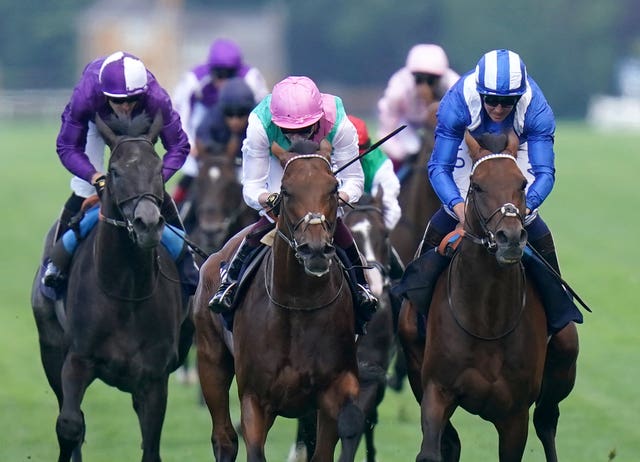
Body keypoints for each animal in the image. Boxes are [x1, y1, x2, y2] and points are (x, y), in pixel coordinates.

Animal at [30, 113, 192, 462]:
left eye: (158, 168)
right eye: (115, 171)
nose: (147, 223)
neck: (126, 294)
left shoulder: (153, 379)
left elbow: (151, 447)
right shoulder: (77, 360)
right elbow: (70, 425)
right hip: (50, 348)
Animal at [195, 139, 362, 460]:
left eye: (333, 187)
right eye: (285, 190)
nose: (315, 249)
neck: (298, 304)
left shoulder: (335, 387)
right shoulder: (256, 398)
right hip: (210, 361)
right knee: (224, 437)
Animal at [400, 132, 564, 460]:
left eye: (522, 184)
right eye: (477, 185)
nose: (510, 237)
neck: (488, 320)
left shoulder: (515, 415)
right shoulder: (437, 389)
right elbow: (432, 448)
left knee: (547, 422)